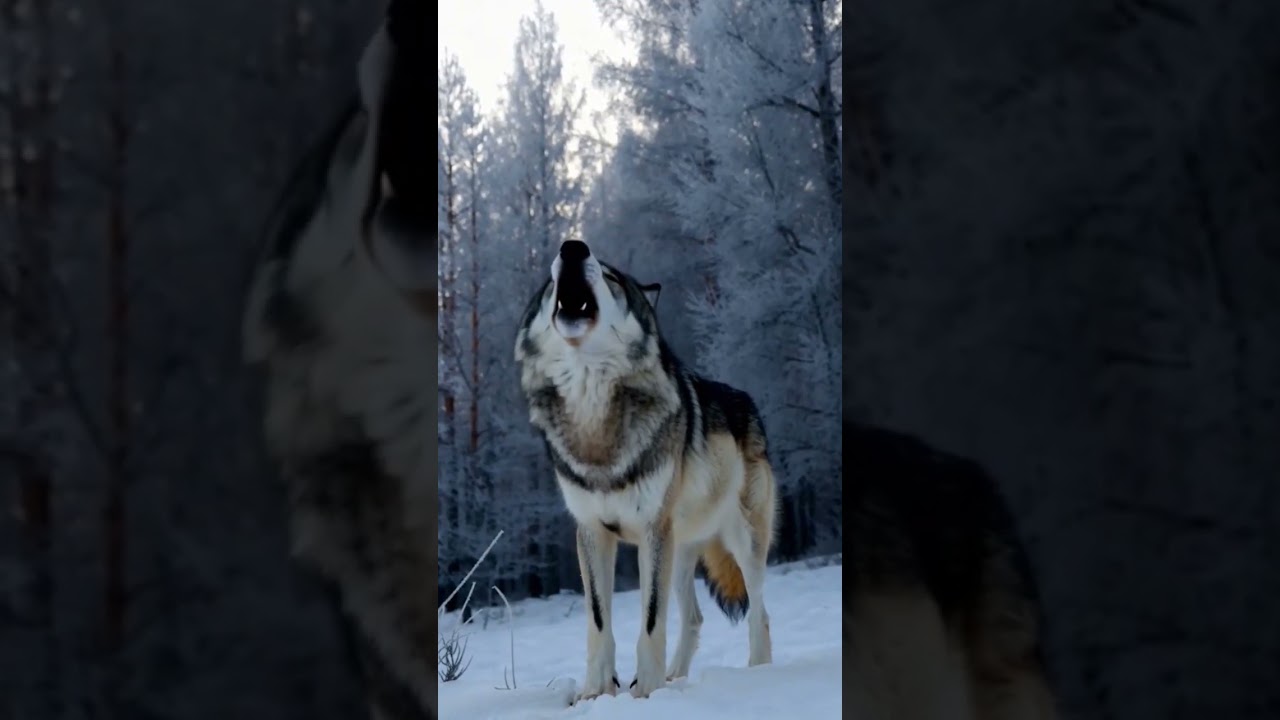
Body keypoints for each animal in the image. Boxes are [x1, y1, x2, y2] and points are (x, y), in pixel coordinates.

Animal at [514, 240, 780, 701]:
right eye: (550, 283)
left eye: (611, 276)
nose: (572, 246)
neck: (594, 417)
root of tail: (748, 401)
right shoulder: (592, 532)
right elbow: (599, 622)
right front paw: (596, 693)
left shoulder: (653, 531)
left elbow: (651, 620)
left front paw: (646, 694)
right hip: (681, 552)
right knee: (694, 618)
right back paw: (676, 678)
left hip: (740, 542)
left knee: (759, 614)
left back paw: (757, 676)